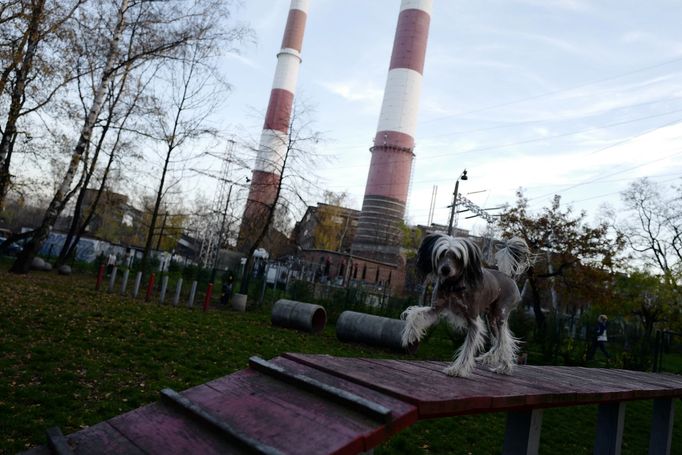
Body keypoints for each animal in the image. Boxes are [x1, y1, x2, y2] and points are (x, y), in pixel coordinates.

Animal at [402, 235, 528, 378]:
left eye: (458, 257)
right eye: (442, 254)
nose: (445, 269)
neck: (452, 285)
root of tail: (509, 276)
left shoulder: (473, 322)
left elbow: (468, 348)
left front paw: (457, 369)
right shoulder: (435, 310)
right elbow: (414, 315)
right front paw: (410, 335)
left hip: (500, 316)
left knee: (505, 341)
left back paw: (505, 367)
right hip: (491, 319)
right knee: (500, 341)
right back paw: (492, 358)